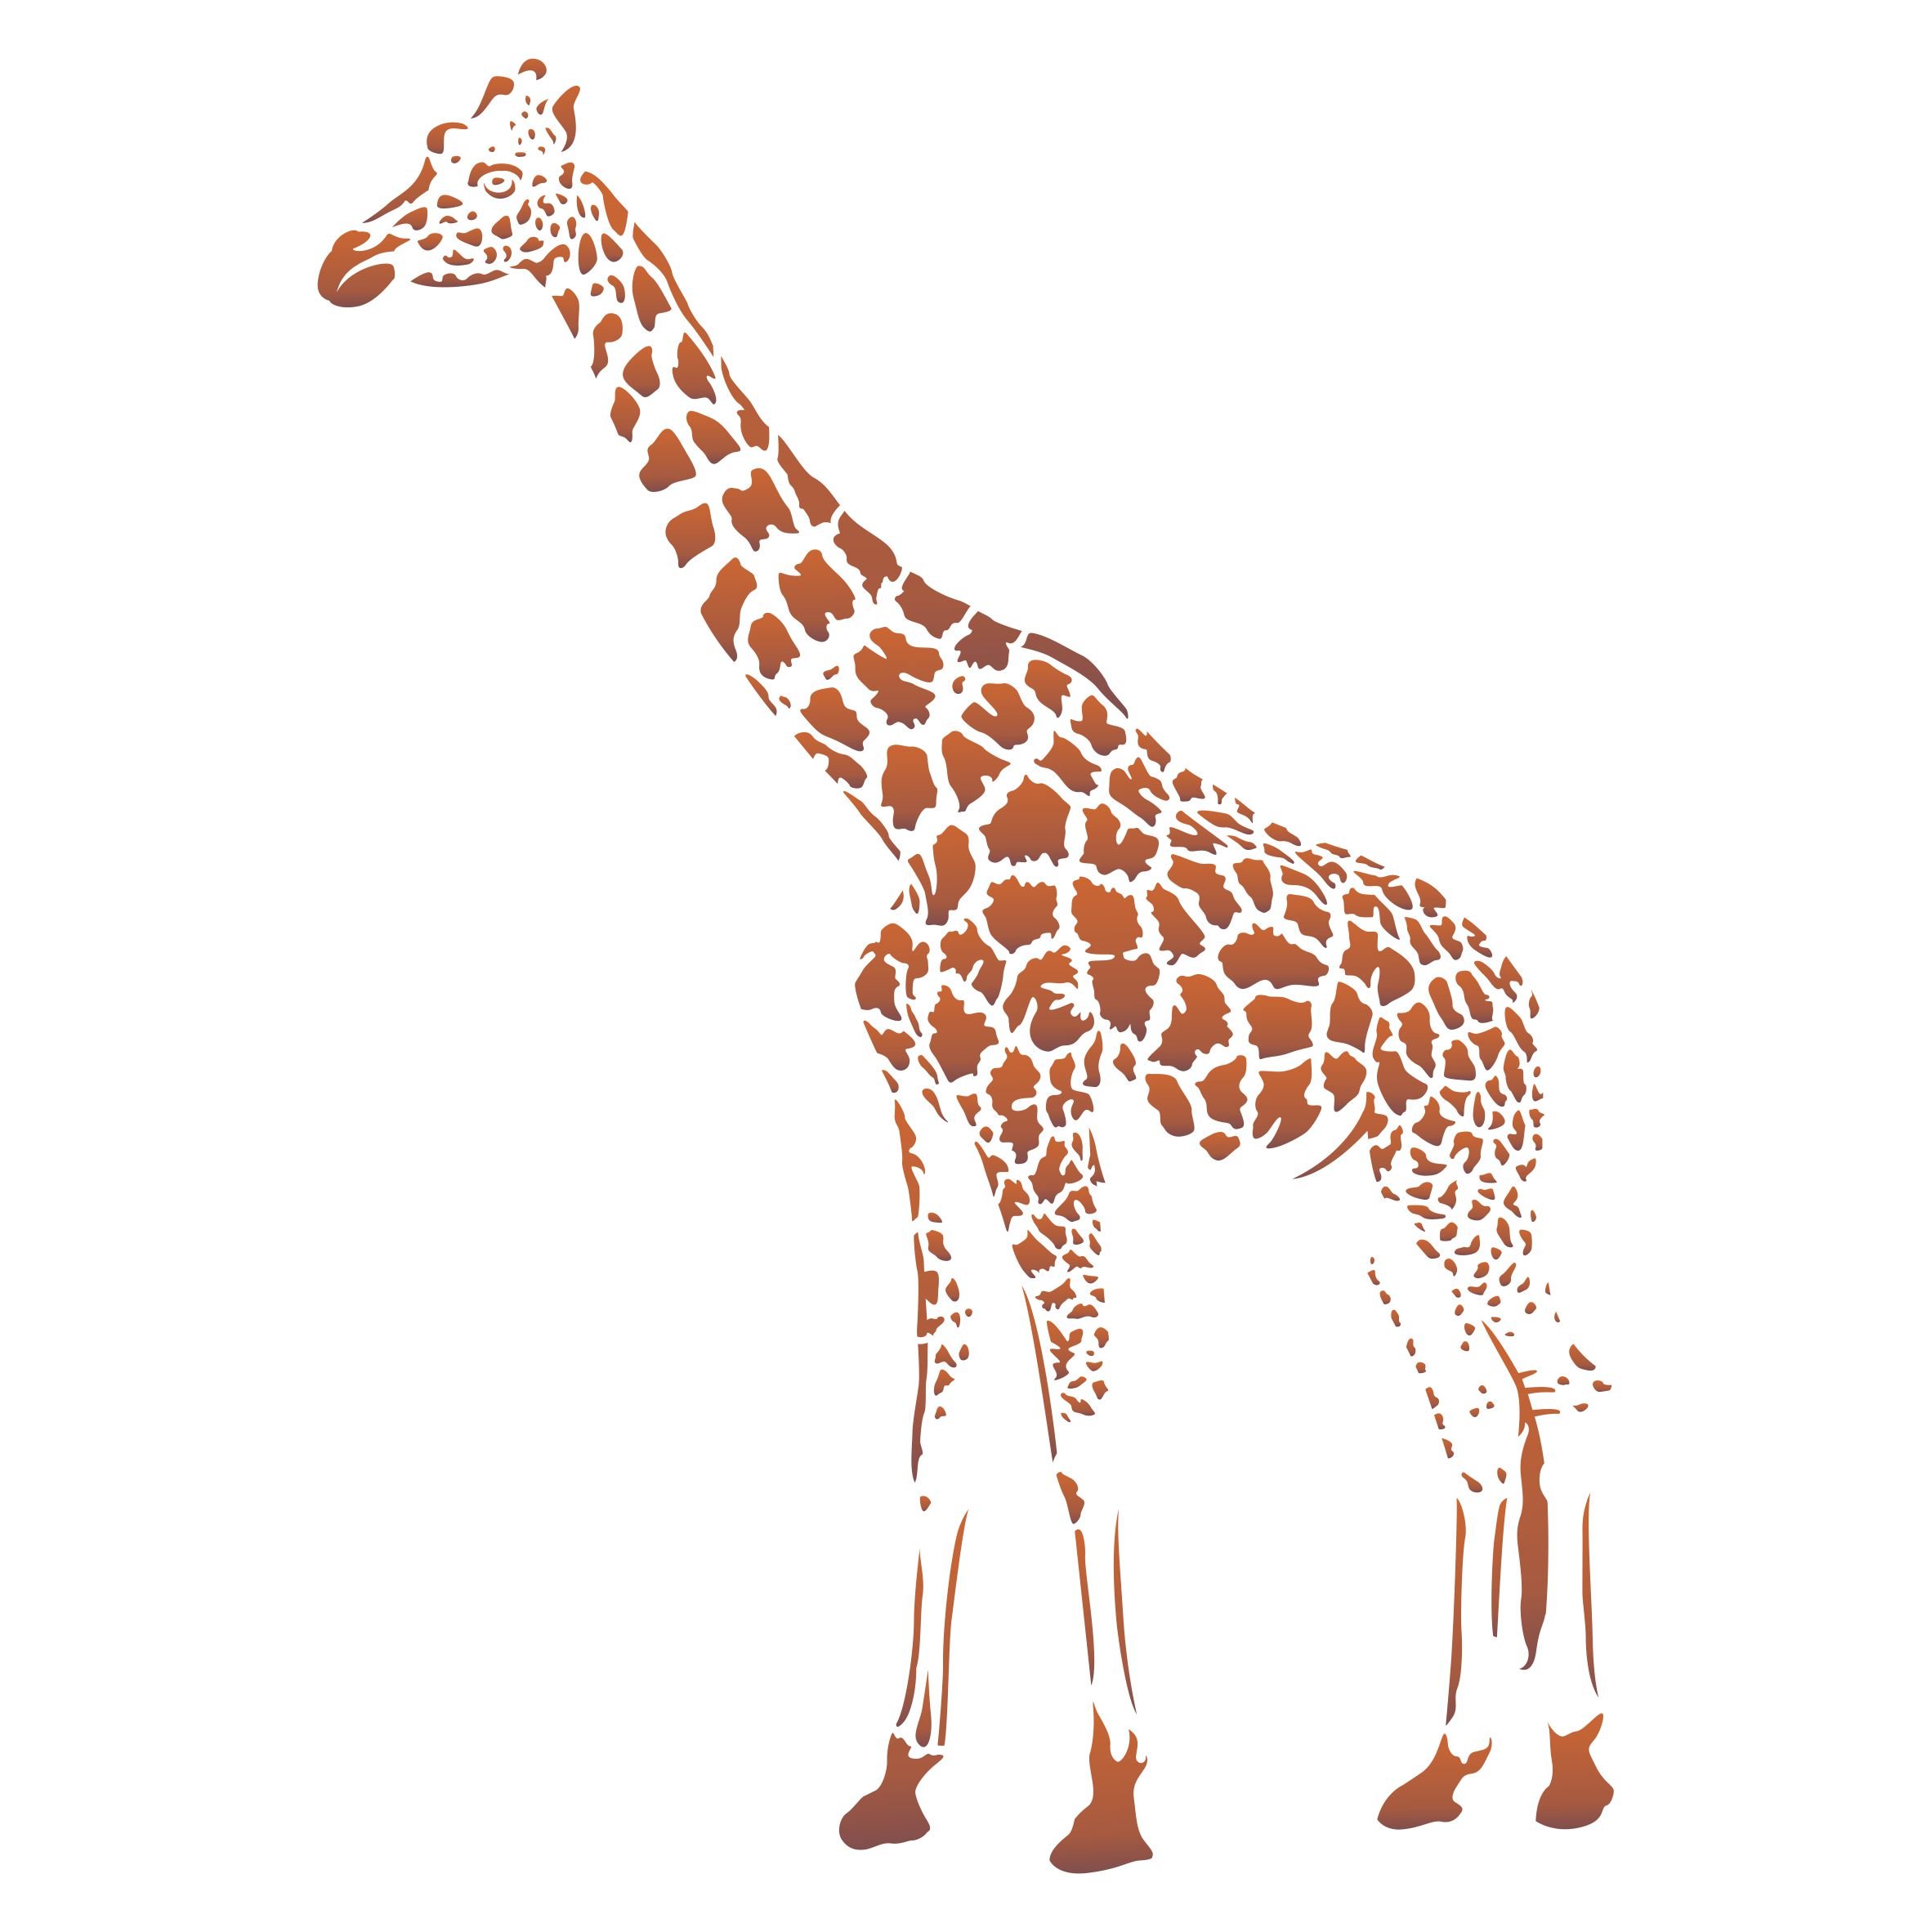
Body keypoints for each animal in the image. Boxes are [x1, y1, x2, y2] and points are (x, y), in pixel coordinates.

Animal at [319, 61, 1616, 1868]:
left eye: (499, 178)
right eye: (434, 146)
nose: (343, 265)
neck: (890, 781)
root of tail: (1528, 1004)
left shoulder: (1034, 1106)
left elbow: (1085, 1439)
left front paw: (1109, 1794)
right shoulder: (922, 1106)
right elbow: (934, 1445)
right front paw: (893, 1775)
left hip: (1468, 1180)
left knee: (1570, 1389)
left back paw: (1569, 1763)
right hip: (1377, 1210)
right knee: (1480, 1430)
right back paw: (1439, 1766)